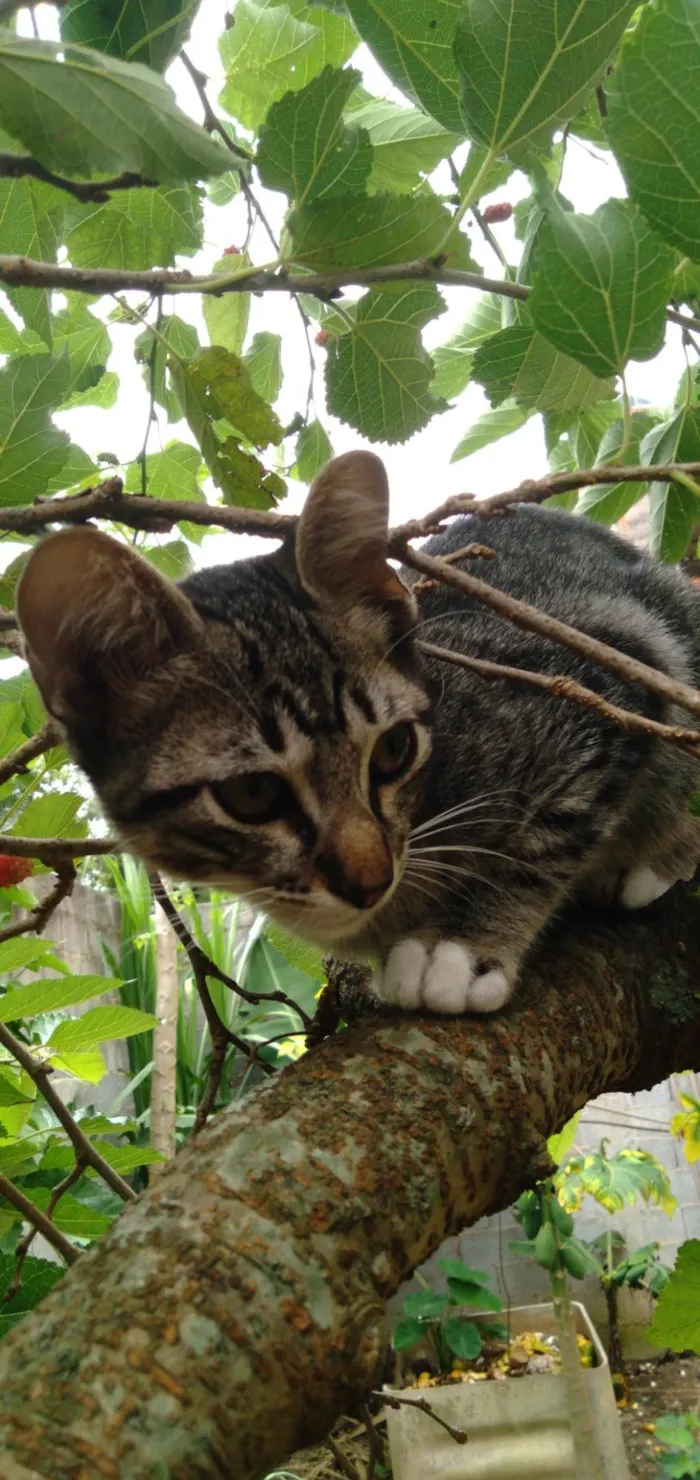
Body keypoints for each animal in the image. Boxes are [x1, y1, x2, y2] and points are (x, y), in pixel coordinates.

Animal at [13, 449, 698, 1018]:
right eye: (252, 794)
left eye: (395, 750)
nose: (370, 882)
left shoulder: (611, 675)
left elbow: (541, 841)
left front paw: (460, 946)